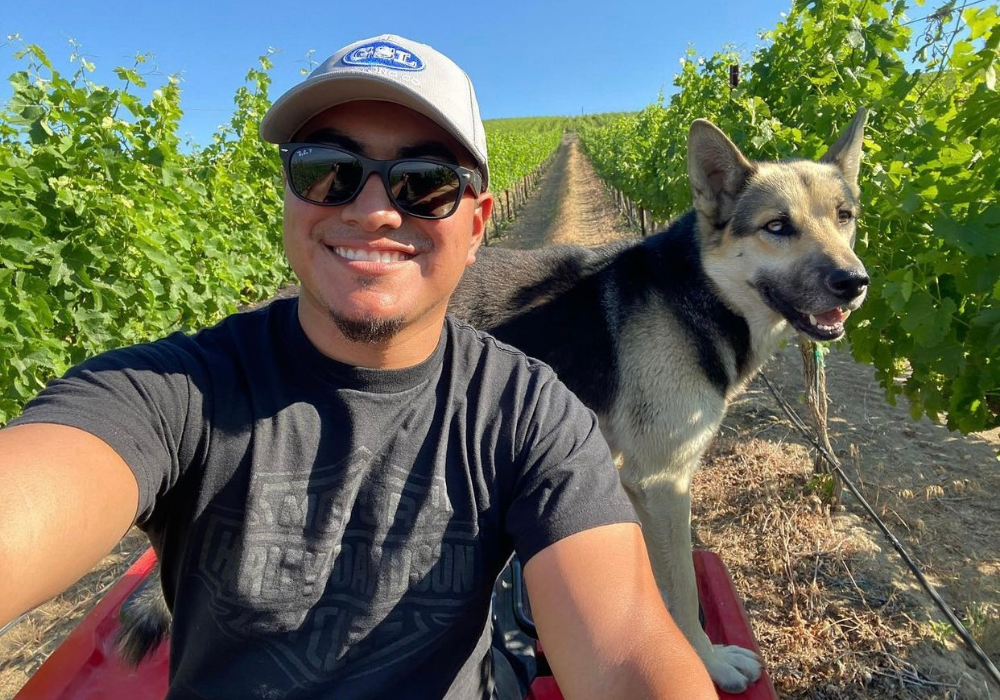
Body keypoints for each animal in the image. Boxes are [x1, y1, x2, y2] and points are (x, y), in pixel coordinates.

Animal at [447, 109, 869, 693]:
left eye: (844, 216)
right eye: (777, 227)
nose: (854, 282)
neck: (699, 290)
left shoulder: (636, 483)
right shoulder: (663, 480)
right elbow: (682, 592)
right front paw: (708, 663)